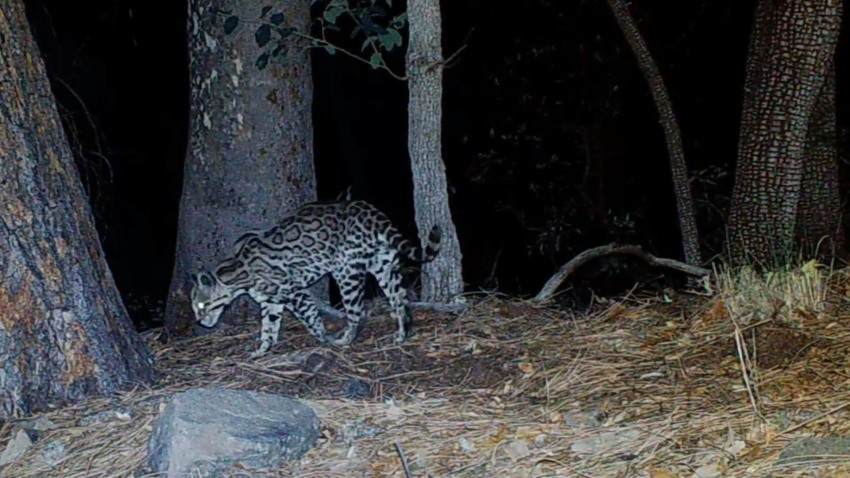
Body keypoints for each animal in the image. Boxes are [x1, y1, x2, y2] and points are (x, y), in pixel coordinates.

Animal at [189, 200, 440, 356]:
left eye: (201, 305)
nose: (200, 322)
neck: (238, 271)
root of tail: (372, 212)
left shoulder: (295, 292)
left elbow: (311, 320)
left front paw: (322, 338)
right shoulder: (270, 301)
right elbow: (269, 327)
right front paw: (263, 350)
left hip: (346, 272)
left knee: (359, 311)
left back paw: (344, 340)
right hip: (384, 267)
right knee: (401, 300)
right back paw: (403, 334)